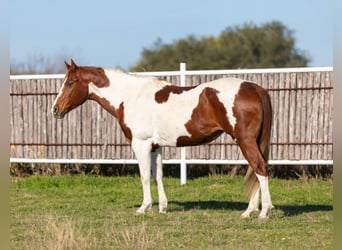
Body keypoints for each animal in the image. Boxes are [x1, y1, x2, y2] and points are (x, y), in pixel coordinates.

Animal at [51, 59, 276, 218]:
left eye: (70, 83)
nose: (55, 110)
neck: (131, 96)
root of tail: (255, 88)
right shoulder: (155, 146)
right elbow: (157, 175)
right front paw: (162, 207)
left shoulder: (140, 144)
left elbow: (143, 176)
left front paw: (144, 207)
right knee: (257, 171)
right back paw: (250, 211)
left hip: (245, 141)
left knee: (260, 169)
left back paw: (263, 212)